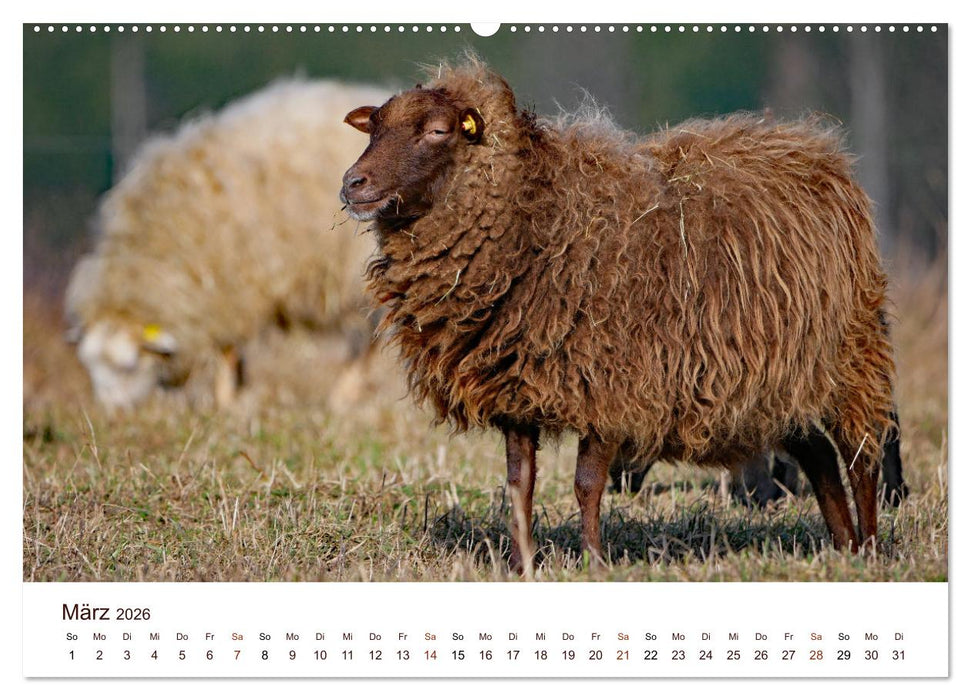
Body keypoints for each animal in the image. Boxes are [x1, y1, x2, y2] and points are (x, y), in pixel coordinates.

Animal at [65, 78, 389, 409]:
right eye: (90, 367)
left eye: (129, 366)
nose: (112, 413)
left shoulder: (231, 285)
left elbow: (227, 348)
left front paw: (225, 398)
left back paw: (343, 396)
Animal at [340, 58, 897, 571]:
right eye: (375, 126)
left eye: (437, 130)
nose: (352, 184)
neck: (537, 218)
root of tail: (817, 149)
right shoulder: (517, 390)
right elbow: (520, 484)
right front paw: (521, 564)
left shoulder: (614, 382)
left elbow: (587, 484)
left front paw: (593, 561)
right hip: (782, 378)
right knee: (819, 453)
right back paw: (844, 547)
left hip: (851, 353)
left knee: (861, 452)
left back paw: (870, 550)